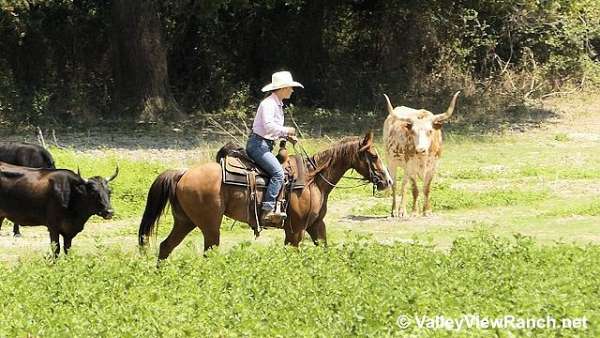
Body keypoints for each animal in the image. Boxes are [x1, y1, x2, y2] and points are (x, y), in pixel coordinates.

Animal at [139, 131, 394, 260]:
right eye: (373, 155)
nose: (388, 181)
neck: (313, 179)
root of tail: (182, 174)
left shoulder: (315, 225)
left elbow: (324, 249)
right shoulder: (296, 230)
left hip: (185, 221)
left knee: (165, 247)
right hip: (210, 225)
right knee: (208, 252)